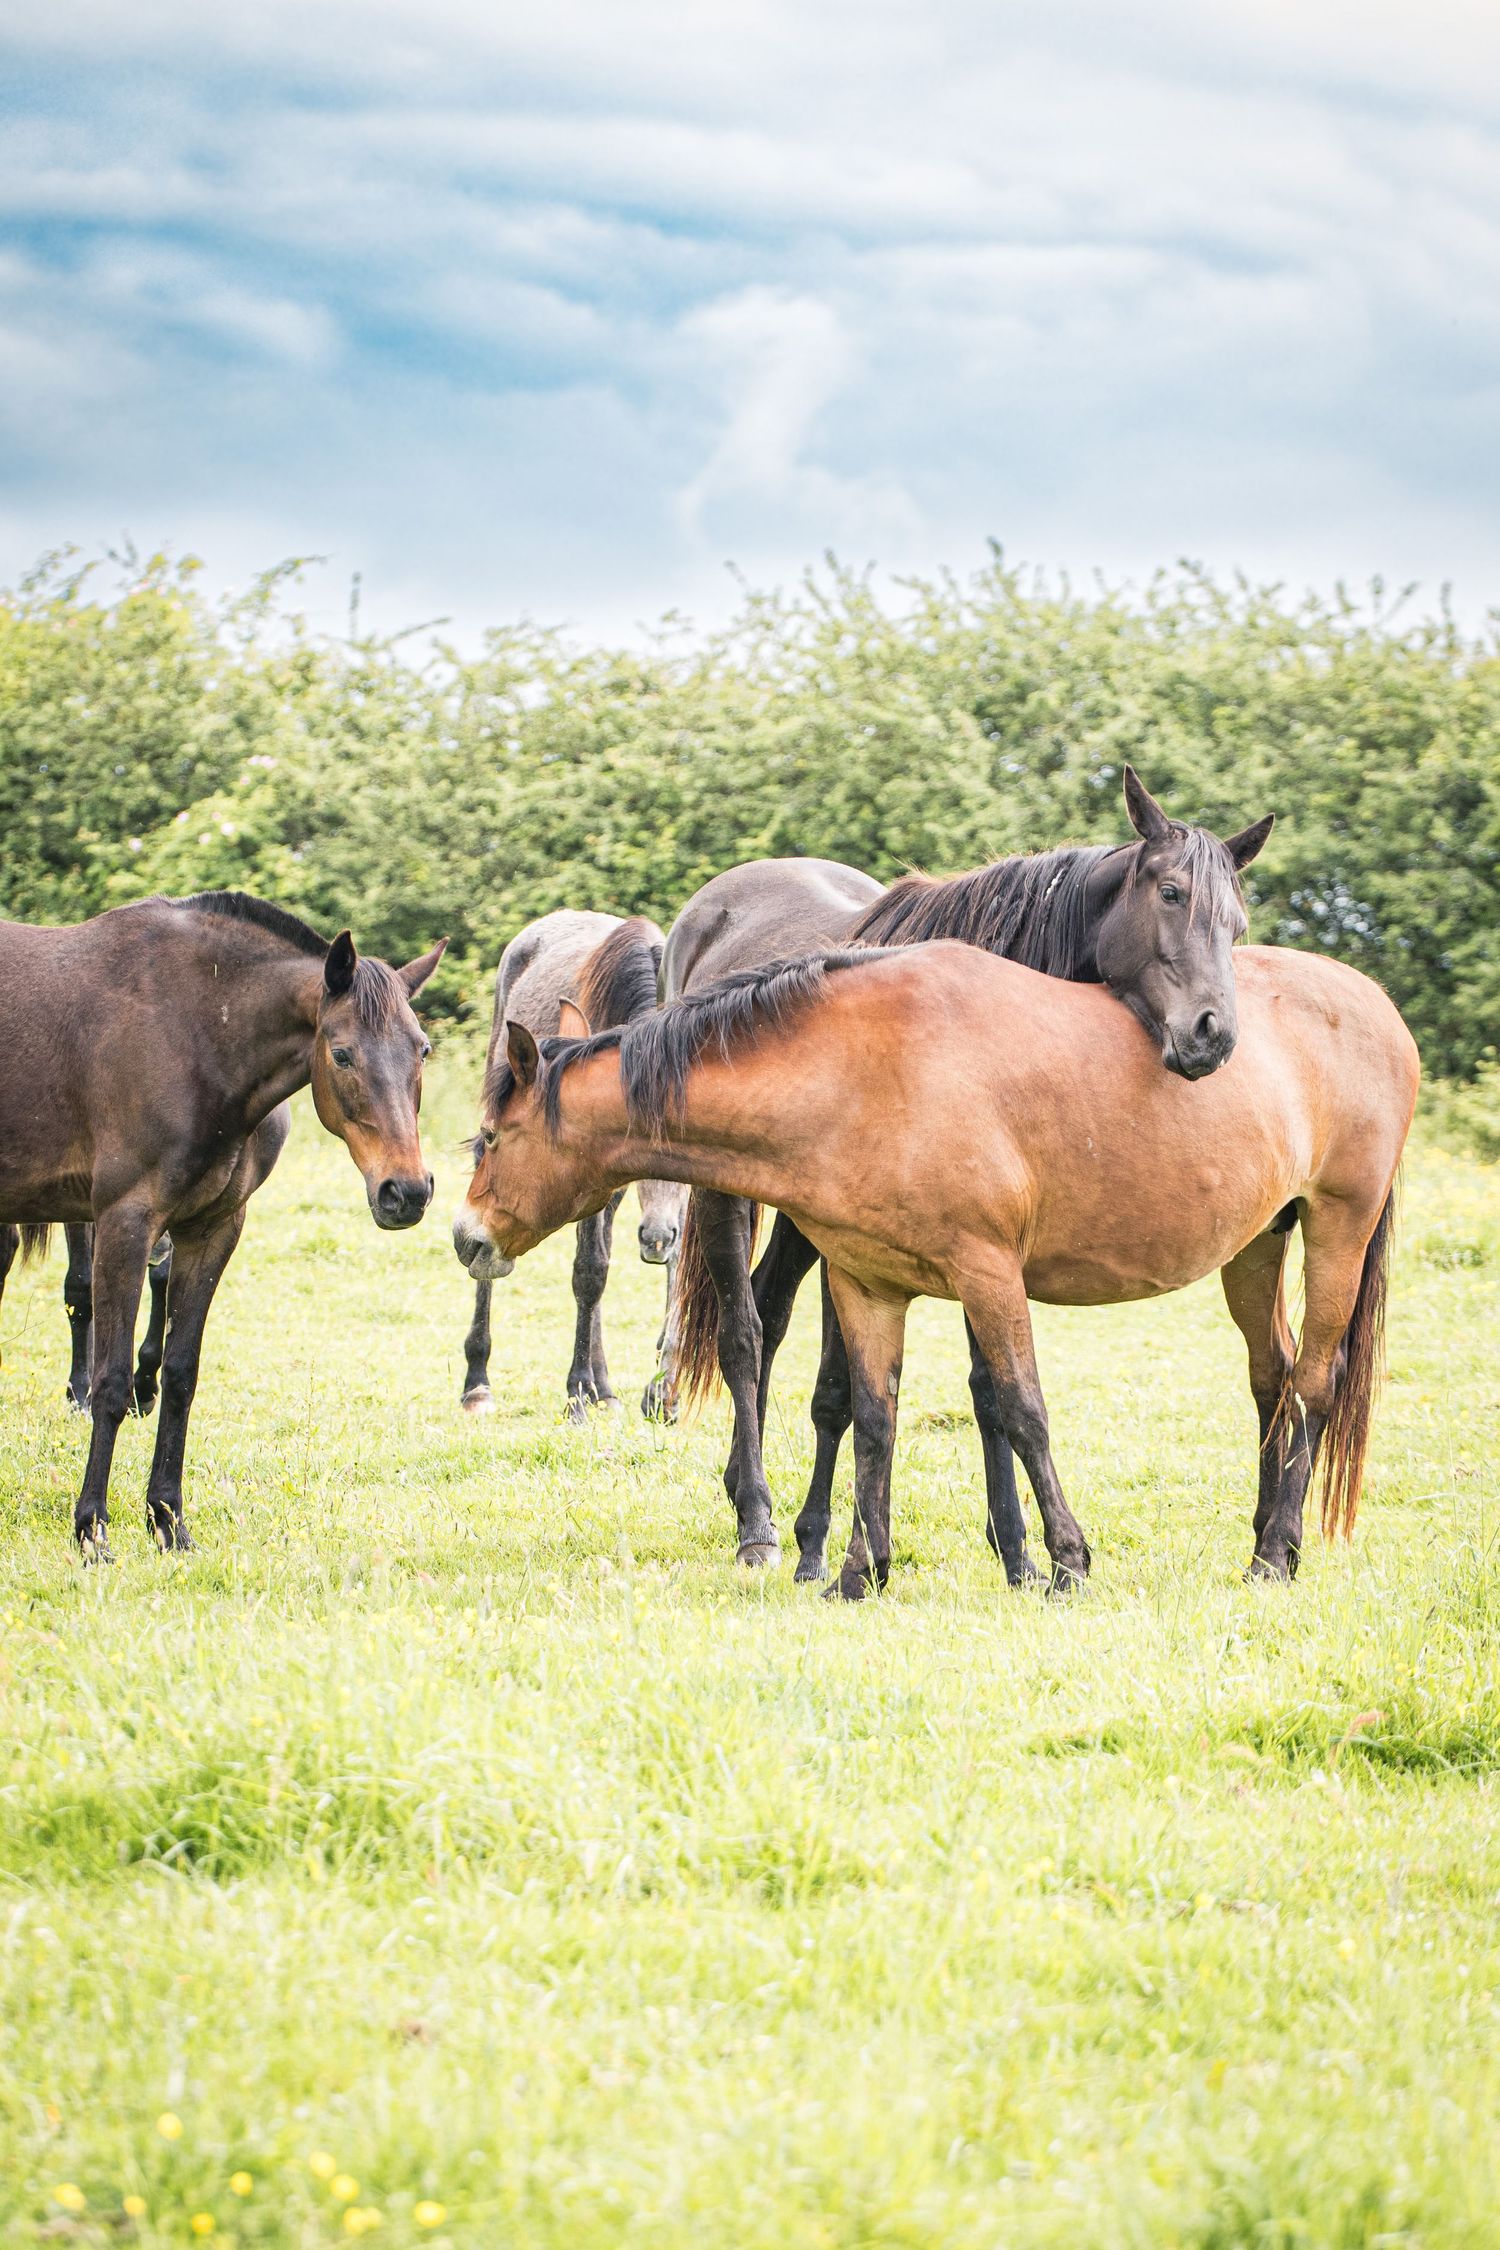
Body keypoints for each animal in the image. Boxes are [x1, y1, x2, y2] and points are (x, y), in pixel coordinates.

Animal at [0, 892, 444, 1554]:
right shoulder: (125, 1222)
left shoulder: (211, 1230)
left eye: (422, 1050)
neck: (195, 1032)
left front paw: (168, 1521)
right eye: (341, 1053)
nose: (406, 1192)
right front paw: (92, 1529)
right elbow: (110, 1381)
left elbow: (182, 1375)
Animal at [459, 911, 688, 1423]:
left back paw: (606, 1386)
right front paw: (578, 1390)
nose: (657, 1239)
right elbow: (589, 1272)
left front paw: (660, 1390)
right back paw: (478, 1382)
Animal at [658, 770, 1273, 1577]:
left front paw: (1014, 1548)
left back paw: (742, 1488)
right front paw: (824, 1542)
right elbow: (841, 1391)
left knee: (770, 1311)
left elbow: (987, 1389)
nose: (1213, 1035)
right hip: (726, 1196)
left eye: (1236, 922)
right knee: (742, 1333)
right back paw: (756, 1520)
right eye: (1171, 893)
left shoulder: (984, 1238)